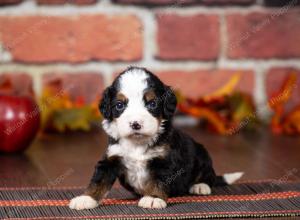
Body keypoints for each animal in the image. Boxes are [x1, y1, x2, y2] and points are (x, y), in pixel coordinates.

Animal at [69, 66, 243, 210]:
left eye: (152, 103)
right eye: (119, 105)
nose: (135, 124)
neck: (137, 143)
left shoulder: (164, 162)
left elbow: (158, 181)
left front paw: (153, 198)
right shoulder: (111, 158)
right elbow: (98, 181)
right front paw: (86, 199)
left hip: (201, 154)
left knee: (209, 175)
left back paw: (200, 186)